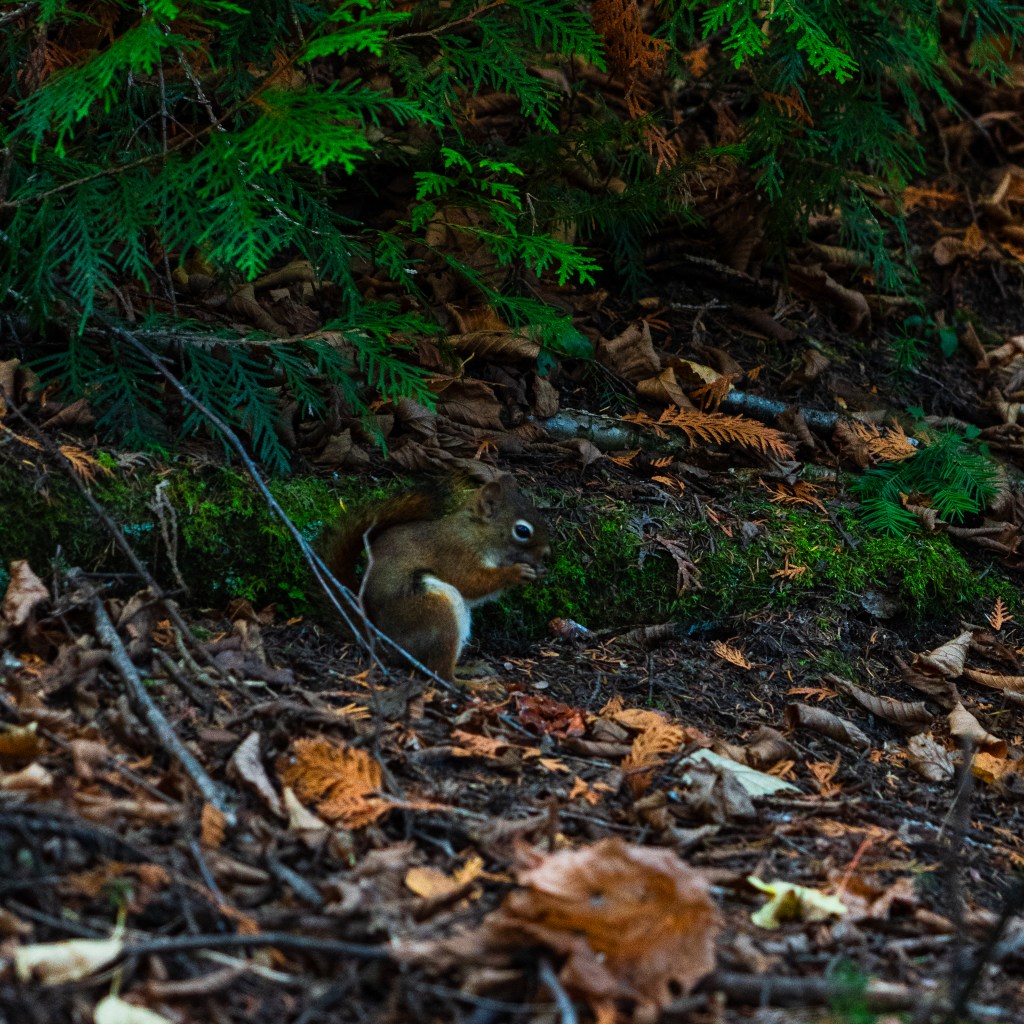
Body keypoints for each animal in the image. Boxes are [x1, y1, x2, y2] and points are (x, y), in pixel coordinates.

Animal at [324, 474, 550, 680]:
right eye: (522, 530)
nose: (547, 553)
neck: (474, 531)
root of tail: (389, 648)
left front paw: (539, 571)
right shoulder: (455, 553)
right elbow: (470, 582)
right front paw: (516, 572)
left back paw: (469, 669)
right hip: (435, 611)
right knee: (440, 673)